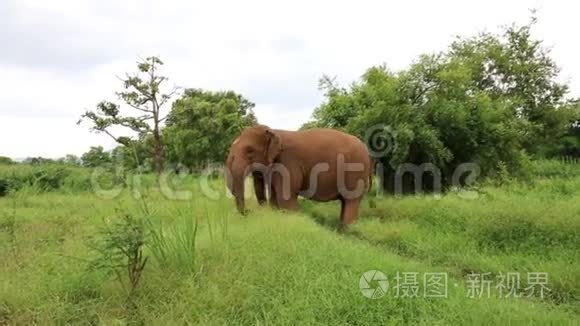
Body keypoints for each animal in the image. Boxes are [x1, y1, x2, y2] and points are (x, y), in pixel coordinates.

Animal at [224, 123, 374, 228]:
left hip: (356, 171)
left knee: (351, 201)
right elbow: (274, 199)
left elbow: (286, 199)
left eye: (250, 151)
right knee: (345, 202)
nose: (249, 212)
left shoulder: (287, 162)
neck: (273, 131)